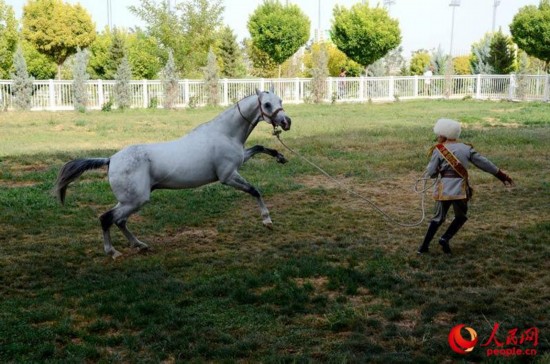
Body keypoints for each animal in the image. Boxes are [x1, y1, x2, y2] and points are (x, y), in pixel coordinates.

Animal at [56, 89, 294, 258]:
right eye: (267, 104)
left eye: (280, 101)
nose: (286, 122)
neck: (224, 133)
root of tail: (110, 160)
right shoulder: (228, 177)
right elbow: (255, 190)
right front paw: (267, 220)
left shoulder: (240, 161)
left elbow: (259, 148)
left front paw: (281, 157)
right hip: (136, 200)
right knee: (107, 218)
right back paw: (113, 252)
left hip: (129, 200)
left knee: (119, 221)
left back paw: (140, 245)